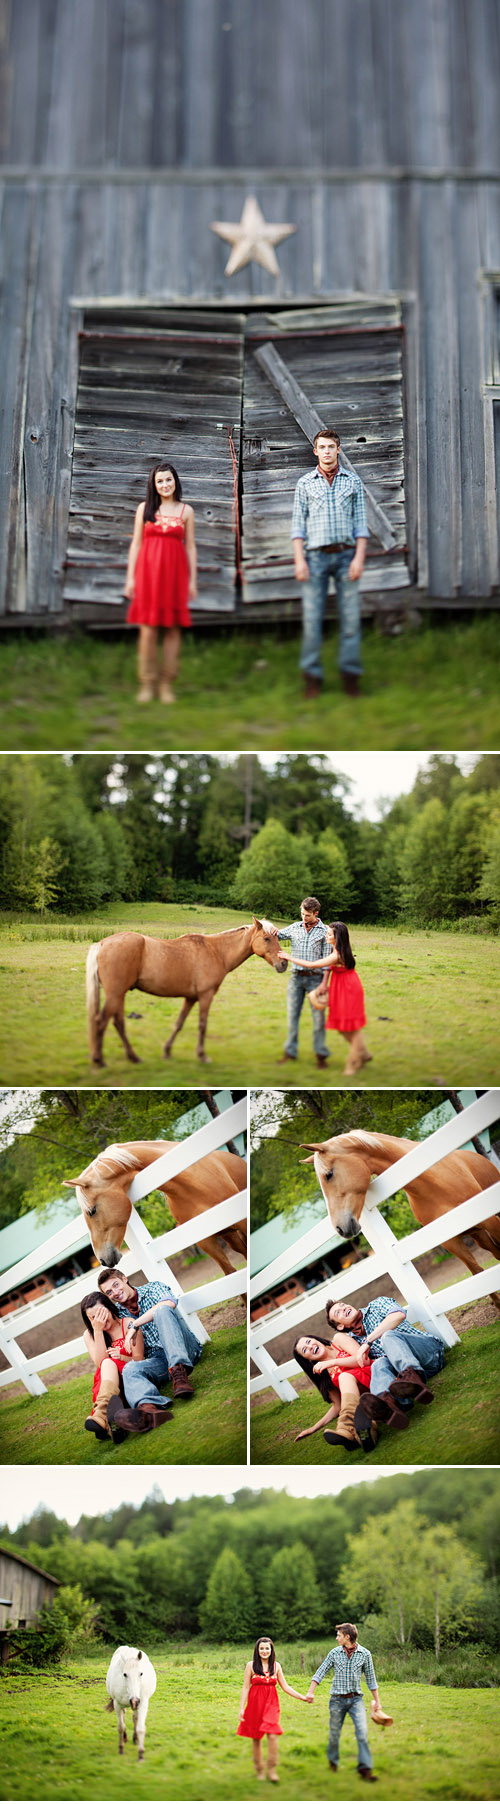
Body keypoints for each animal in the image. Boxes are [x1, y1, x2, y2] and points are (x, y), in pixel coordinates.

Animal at [62, 1132, 247, 1277]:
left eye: (92, 1211)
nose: (101, 1259)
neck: (193, 1183)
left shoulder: (243, 1223)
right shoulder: (206, 1241)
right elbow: (231, 1273)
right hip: (229, 1235)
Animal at [85, 923, 285, 1060]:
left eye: (277, 938)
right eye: (266, 938)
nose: (283, 964)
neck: (216, 951)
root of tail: (102, 943)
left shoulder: (190, 998)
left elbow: (179, 1023)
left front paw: (167, 1051)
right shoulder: (205, 996)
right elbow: (202, 1025)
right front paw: (202, 1055)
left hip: (119, 995)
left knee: (117, 1023)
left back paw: (133, 1057)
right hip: (115, 994)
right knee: (102, 1021)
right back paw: (99, 1061)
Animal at [297, 1125, 498, 1313]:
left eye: (329, 1174)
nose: (339, 1228)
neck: (433, 1181)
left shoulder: (492, 1222)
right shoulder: (450, 1241)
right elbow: (477, 1271)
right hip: (477, 1233)